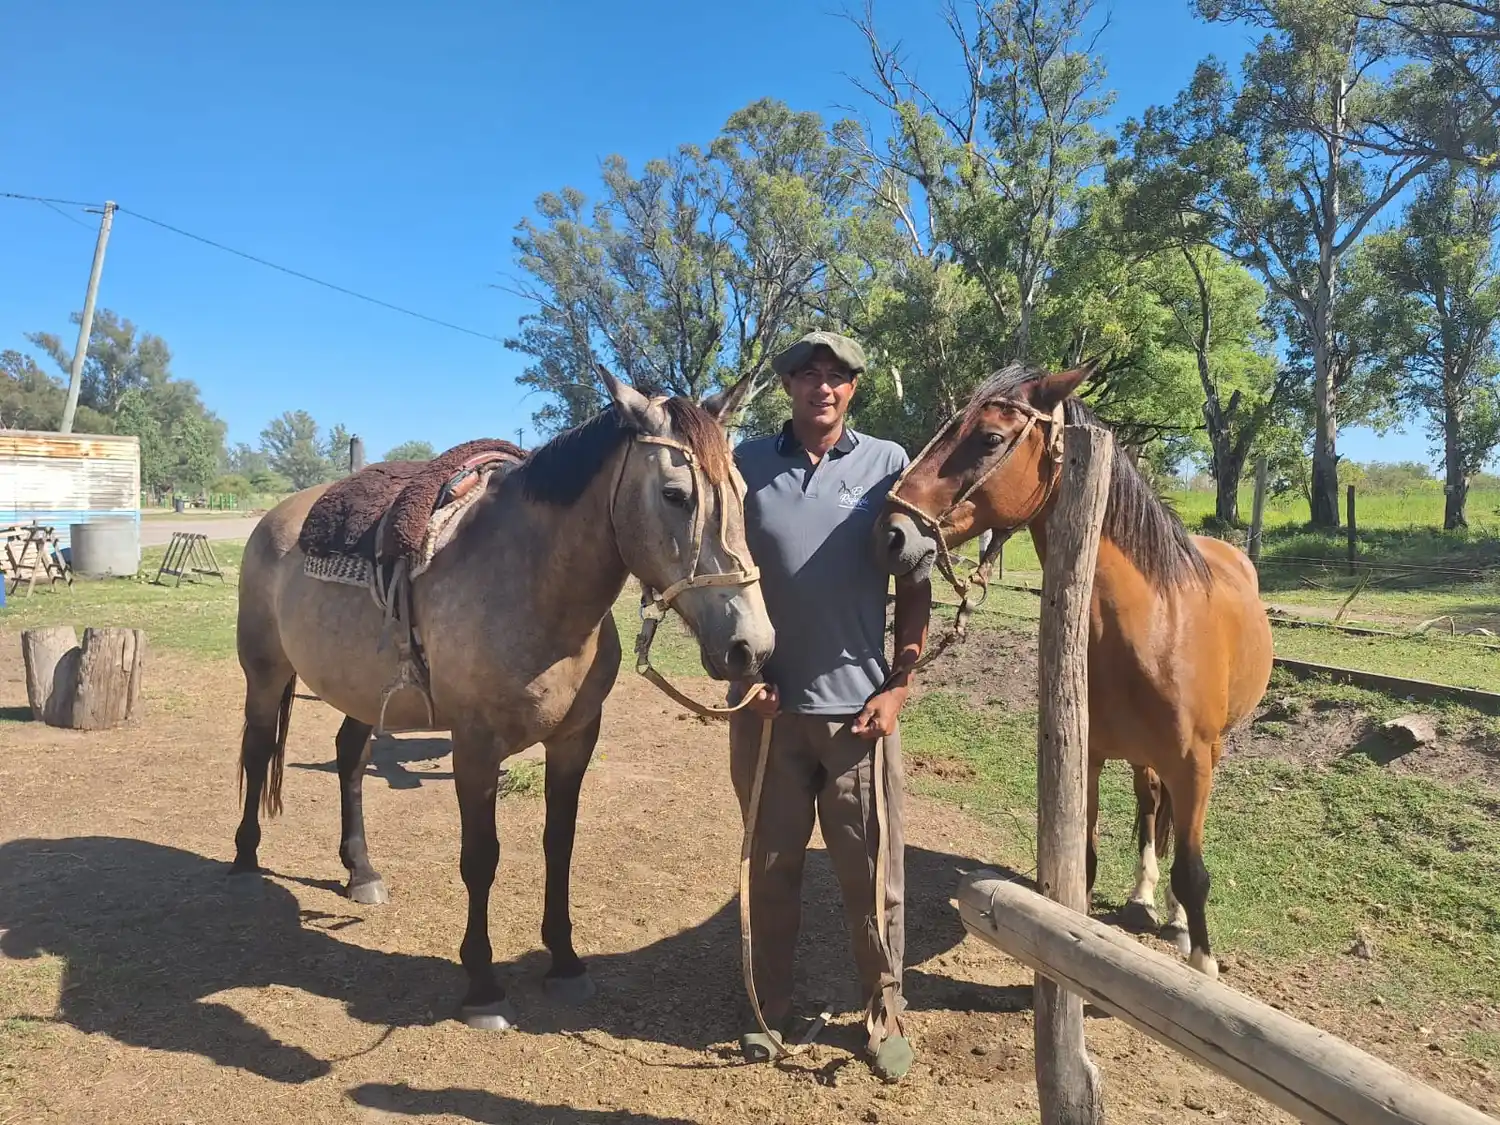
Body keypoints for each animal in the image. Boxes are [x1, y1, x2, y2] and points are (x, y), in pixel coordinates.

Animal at [230, 371, 775, 1028]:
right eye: (676, 495)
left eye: (742, 492)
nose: (751, 647)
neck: (534, 586)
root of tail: (277, 517)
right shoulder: (475, 748)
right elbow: (480, 857)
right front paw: (483, 985)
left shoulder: (575, 739)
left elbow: (559, 845)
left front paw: (564, 962)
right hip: (264, 673)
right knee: (258, 750)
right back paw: (245, 863)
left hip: (358, 691)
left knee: (350, 760)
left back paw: (361, 872)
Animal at [875, 360, 1272, 977]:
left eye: (989, 439)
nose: (891, 532)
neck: (1155, 628)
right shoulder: (1088, 756)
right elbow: (1082, 861)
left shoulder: (1194, 765)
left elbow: (1193, 871)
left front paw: (1201, 963)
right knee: (1148, 805)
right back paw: (1141, 897)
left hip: (1212, 752)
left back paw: (1174, 918)